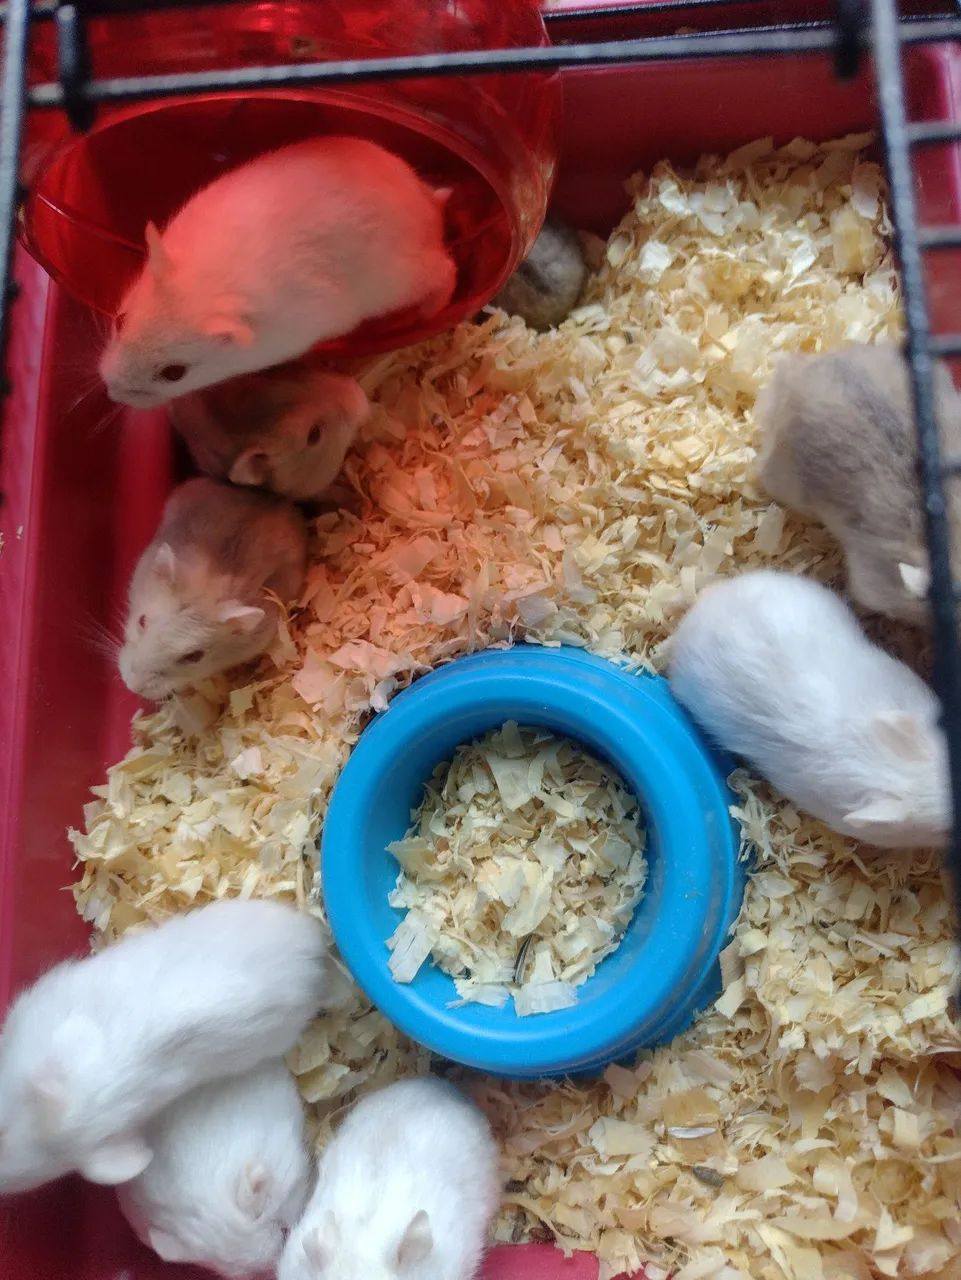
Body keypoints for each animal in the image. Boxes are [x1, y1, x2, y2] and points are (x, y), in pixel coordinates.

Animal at [99, 137, 456, 407]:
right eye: (120, 321)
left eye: (174, 373)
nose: (110, 392)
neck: (212, 282)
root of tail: (432, 209)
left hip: (404, 278)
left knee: (448, 271)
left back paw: (424, 314)